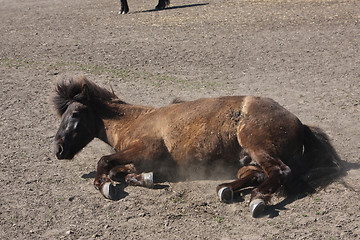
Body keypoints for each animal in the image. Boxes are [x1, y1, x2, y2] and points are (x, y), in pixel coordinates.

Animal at [52, 76, 342, 218]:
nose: (58, 149)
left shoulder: (146, 149)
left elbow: (104, 162)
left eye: (75, 113)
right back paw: (226, 189)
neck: (135, 121)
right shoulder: (139, 160)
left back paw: (257, 199)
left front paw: (105, 186)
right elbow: (119, 169)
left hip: (255, 144)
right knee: (258, 174)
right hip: (248, 160)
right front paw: (145, 178)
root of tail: (299, 122)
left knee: (280, 172)